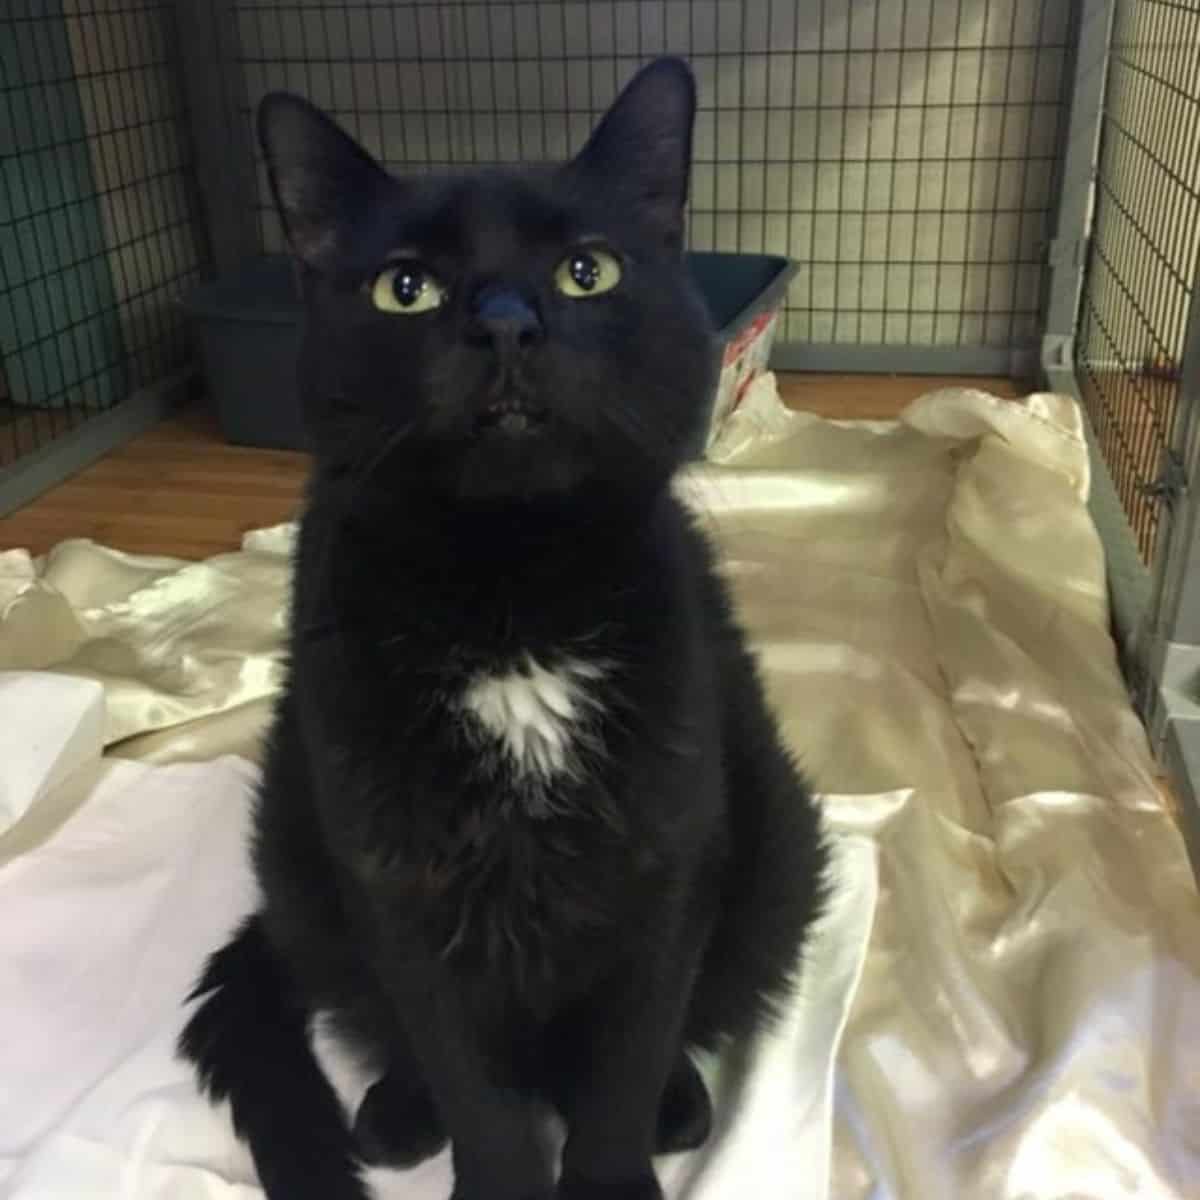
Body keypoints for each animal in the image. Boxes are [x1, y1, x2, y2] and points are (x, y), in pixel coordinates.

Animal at [180, 60, 825, 1200]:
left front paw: (612, 1173)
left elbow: (627, 1052)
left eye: (585, 272)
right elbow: (465, 1075)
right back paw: (395, 1116)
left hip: (780, 842)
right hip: (296, 849)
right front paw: (493, 1172)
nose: (510, 323)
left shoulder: (662, 857)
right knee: (389, 1028)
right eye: (406, 288)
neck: (510, 593)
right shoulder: (399, 875)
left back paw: (680, 1105)